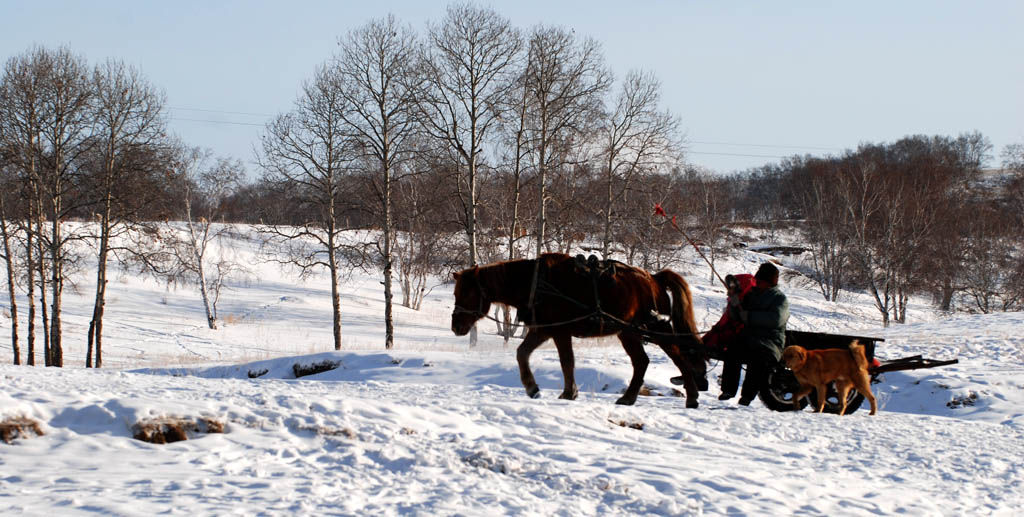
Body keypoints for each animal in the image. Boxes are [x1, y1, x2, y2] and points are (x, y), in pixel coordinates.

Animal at [452, 251, 708, 405]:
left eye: (466, 293)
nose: (456, 326)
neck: (536, 284)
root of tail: (653, 278)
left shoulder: (560, 331)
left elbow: (567, 361)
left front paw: (568, 393)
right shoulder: (543, 329)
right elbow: (521, 353)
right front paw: (532, 387)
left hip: (647, 326)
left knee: (672, 354)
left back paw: (690, 395)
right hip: (629, 331)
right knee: (646, 360)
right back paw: (633, 397)